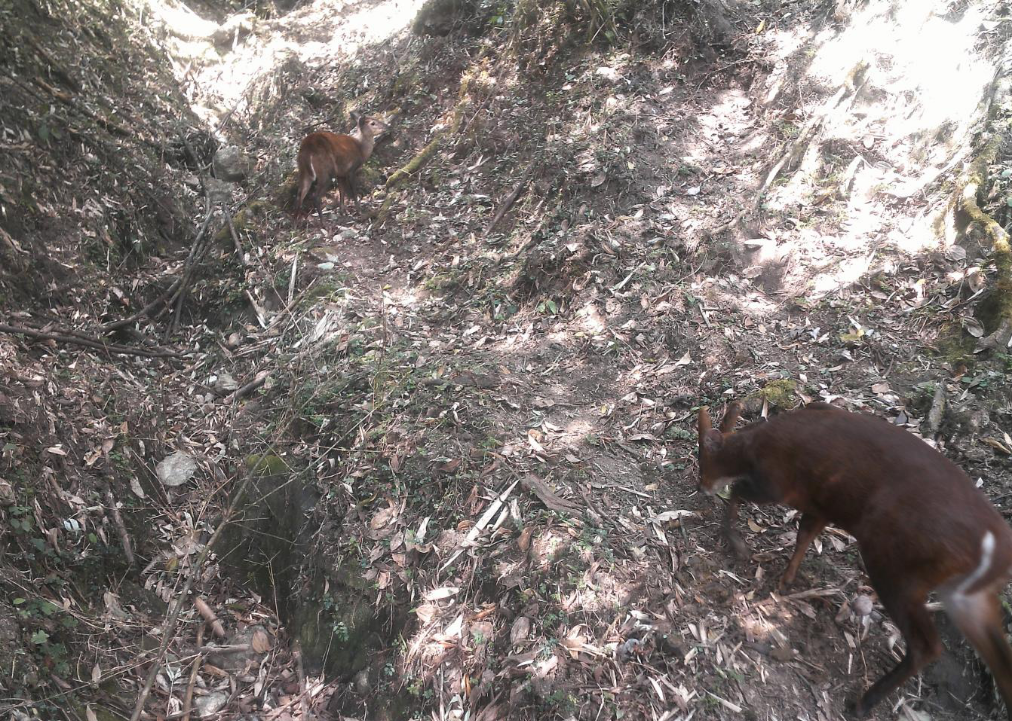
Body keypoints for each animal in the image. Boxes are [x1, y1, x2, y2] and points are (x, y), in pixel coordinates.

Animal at [700, 403, 1011, 716]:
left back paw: (863, 702)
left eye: (704, 459)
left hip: (894, 566)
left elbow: (738, 491)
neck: (753, 448)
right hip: (963, 595)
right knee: (999, 658)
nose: (703, 485)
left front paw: (738, 544)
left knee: (928, 645)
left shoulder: (776, 484)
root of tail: (994, 551)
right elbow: (804, 536)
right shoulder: (821, 504)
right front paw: (786, 582)